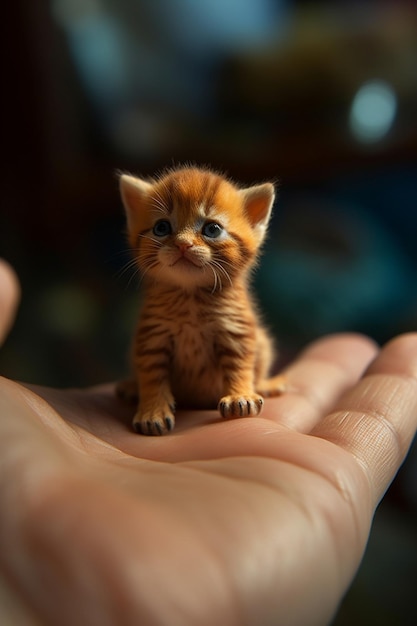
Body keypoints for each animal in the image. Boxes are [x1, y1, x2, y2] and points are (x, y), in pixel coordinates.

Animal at [117, 166, 286, 434]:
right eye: (162, 227)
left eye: (212, 229)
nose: (183, 244)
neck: (191, 296)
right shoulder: (151, 335)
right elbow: (151, 374)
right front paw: (152, 412)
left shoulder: (236, 330)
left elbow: (239, 366)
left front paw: (240, 396)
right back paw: (132, 387)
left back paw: (265, 385)